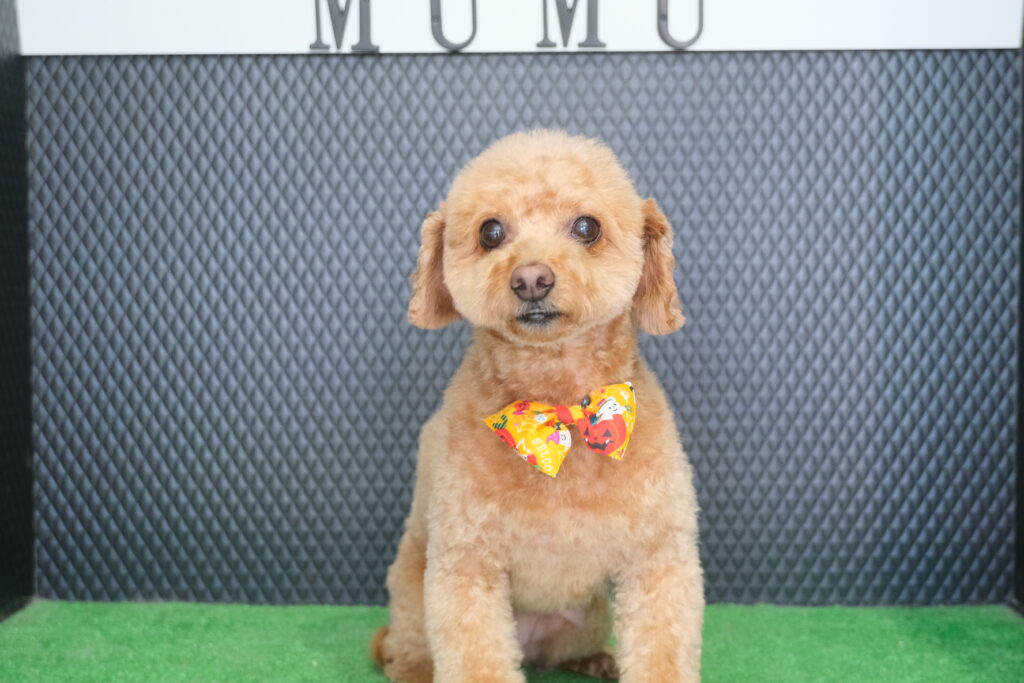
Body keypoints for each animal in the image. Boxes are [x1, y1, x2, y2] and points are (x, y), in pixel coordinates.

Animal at [371, 130, 704, 682]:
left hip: (586, 615)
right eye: (490, 232)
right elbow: (476, 658)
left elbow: (661, 649)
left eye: (587, 227)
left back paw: (594, 658)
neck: (559, 408)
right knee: (410, 645)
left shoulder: (658, 556)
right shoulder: (466, 562)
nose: (531, 279)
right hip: (412, 584)